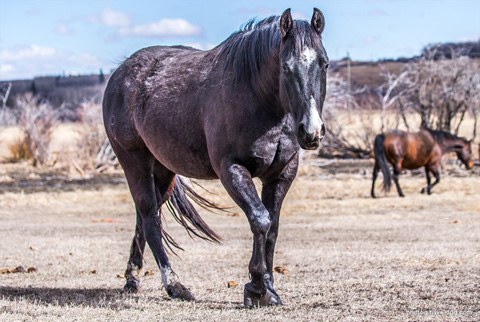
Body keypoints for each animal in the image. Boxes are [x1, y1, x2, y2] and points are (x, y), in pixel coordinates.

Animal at [104, 8, 330, 308]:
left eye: (324, 64)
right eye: (285, 67)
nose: (311, 131)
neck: (254, 95)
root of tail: (121, 73)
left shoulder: (282, 173)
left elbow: (273, 227)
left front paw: (269, 289)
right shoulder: (231, 169)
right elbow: (261, 220)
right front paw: (256, 287)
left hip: (163, 170)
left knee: (145, 215)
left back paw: (132, 279)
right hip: (134, 161)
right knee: (150, 216)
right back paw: (174, 285)